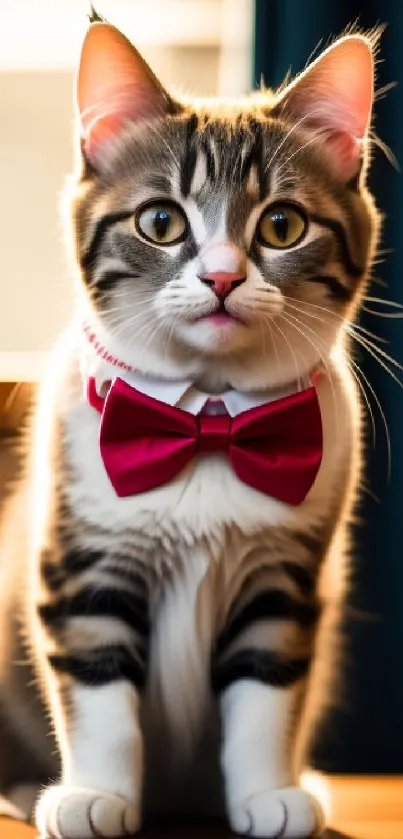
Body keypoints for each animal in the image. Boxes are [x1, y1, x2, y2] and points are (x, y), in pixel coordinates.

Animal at [0, 14, 382, 839]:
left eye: (281, 224)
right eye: (160, 221)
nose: (221, 276)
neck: (209, 419)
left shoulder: (285, 573)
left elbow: (264, 689)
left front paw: (266, 792)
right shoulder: (83, 557)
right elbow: (100, 689)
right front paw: (95, 793)